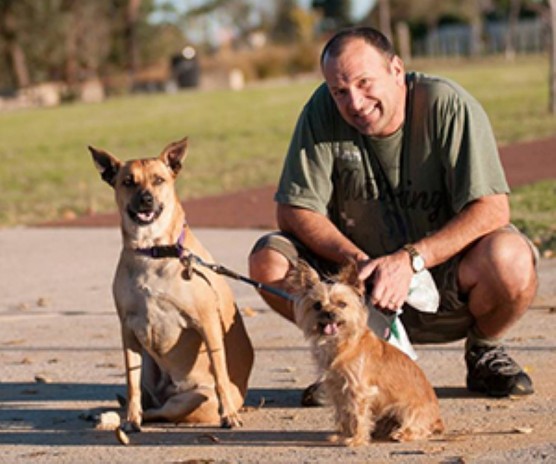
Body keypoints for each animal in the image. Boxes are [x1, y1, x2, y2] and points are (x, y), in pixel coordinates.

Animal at [89, 136, 254, 430]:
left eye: (158, 180)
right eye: (128, 181)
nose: (146, 199)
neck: (153, 250)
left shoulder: (207, 323)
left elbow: (220, 372)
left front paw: (229, 415)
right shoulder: (127, 329)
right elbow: (131, 383)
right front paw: (130, 418)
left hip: (190, 400)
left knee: (161, 412)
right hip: (148, 367)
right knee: (146, 402)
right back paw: (117, 415)